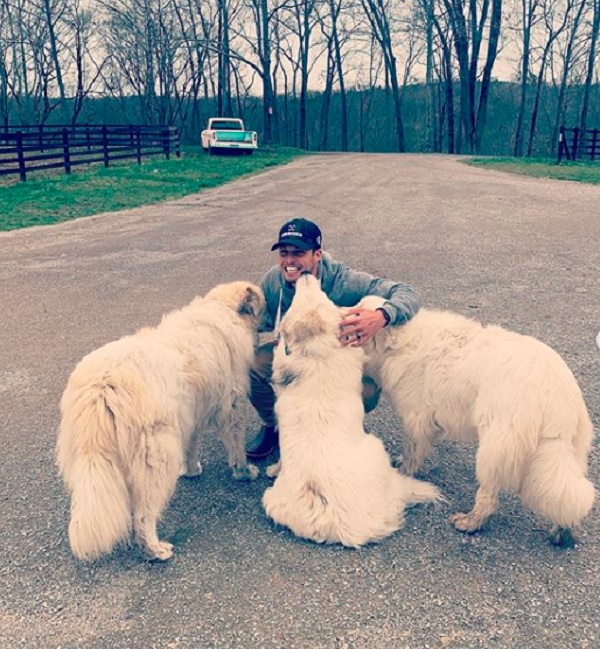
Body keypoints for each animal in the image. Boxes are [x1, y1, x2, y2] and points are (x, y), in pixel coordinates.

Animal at [57, 280, 264, 560]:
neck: (220, 308)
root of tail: (103, 386)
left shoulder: (192, 411)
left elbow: (192, 446)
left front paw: (191, 470)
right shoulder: (231, 406)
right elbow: (236, 445)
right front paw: (243, 472)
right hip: (156, 454)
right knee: (144, 514)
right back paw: (155, 549)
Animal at [358, 294, 592, 548]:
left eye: (355, 316)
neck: (399, 341)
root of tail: (555, 393)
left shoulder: (416, 419)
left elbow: (411, 453)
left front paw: (403, 473)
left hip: (494, 446)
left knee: (488, 497)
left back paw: (470, 522)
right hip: (568, 451)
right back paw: (563, 531)